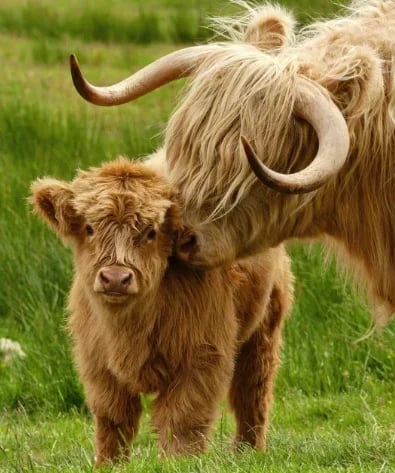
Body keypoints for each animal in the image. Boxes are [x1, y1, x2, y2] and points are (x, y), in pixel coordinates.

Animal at [30, 158, 294, 464]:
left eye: (151, 232)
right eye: (90, 228)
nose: (116, 278)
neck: (128, 328)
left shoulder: (201, 356)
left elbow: (182, 419)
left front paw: (179, 462)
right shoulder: (96, 362)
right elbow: (112, 417)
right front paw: (108, 464)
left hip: (264, 329)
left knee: (252, 392)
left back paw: (247, 452)